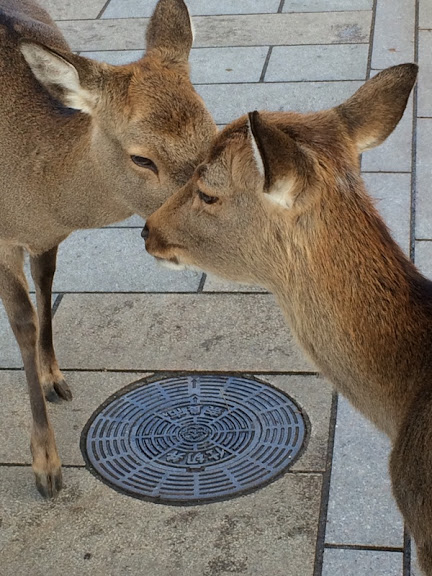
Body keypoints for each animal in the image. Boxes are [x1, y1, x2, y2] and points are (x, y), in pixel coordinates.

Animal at [0, 0, 216, 498]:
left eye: (214, 136)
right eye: (141, 158)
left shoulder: (46, 237)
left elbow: (46, 287)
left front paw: (55, 378)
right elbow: (22, 322)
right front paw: (46, 468)